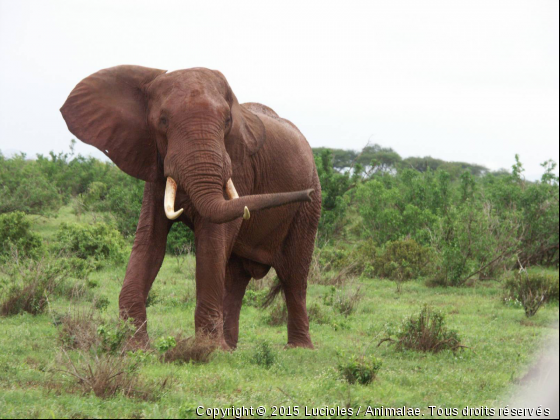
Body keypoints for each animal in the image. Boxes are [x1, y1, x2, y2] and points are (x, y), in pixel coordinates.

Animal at [59, 65, 322, 348]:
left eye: (227, 122)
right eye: (163, 121)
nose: (305, 194)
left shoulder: (237, 163)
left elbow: (213, 238)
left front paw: (207, 351)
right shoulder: (154, 161)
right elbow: (150, 240)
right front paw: (135, 348)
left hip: (310, 205)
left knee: (294, 275)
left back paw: (298, 348)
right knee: (237, 277)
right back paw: (231, 348)